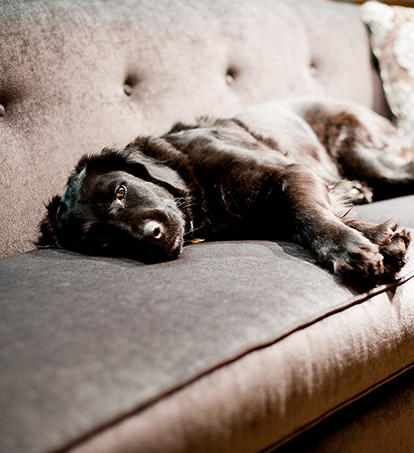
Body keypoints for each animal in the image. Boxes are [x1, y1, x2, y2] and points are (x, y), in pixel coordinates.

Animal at [37, 96, 412, 282]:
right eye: (102, 241)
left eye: (120, 191)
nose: (151, 238)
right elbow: (302, 216)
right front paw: (382, 238)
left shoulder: (291, 170)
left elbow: (305, 210)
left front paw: (348, 248)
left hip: (366, 155)